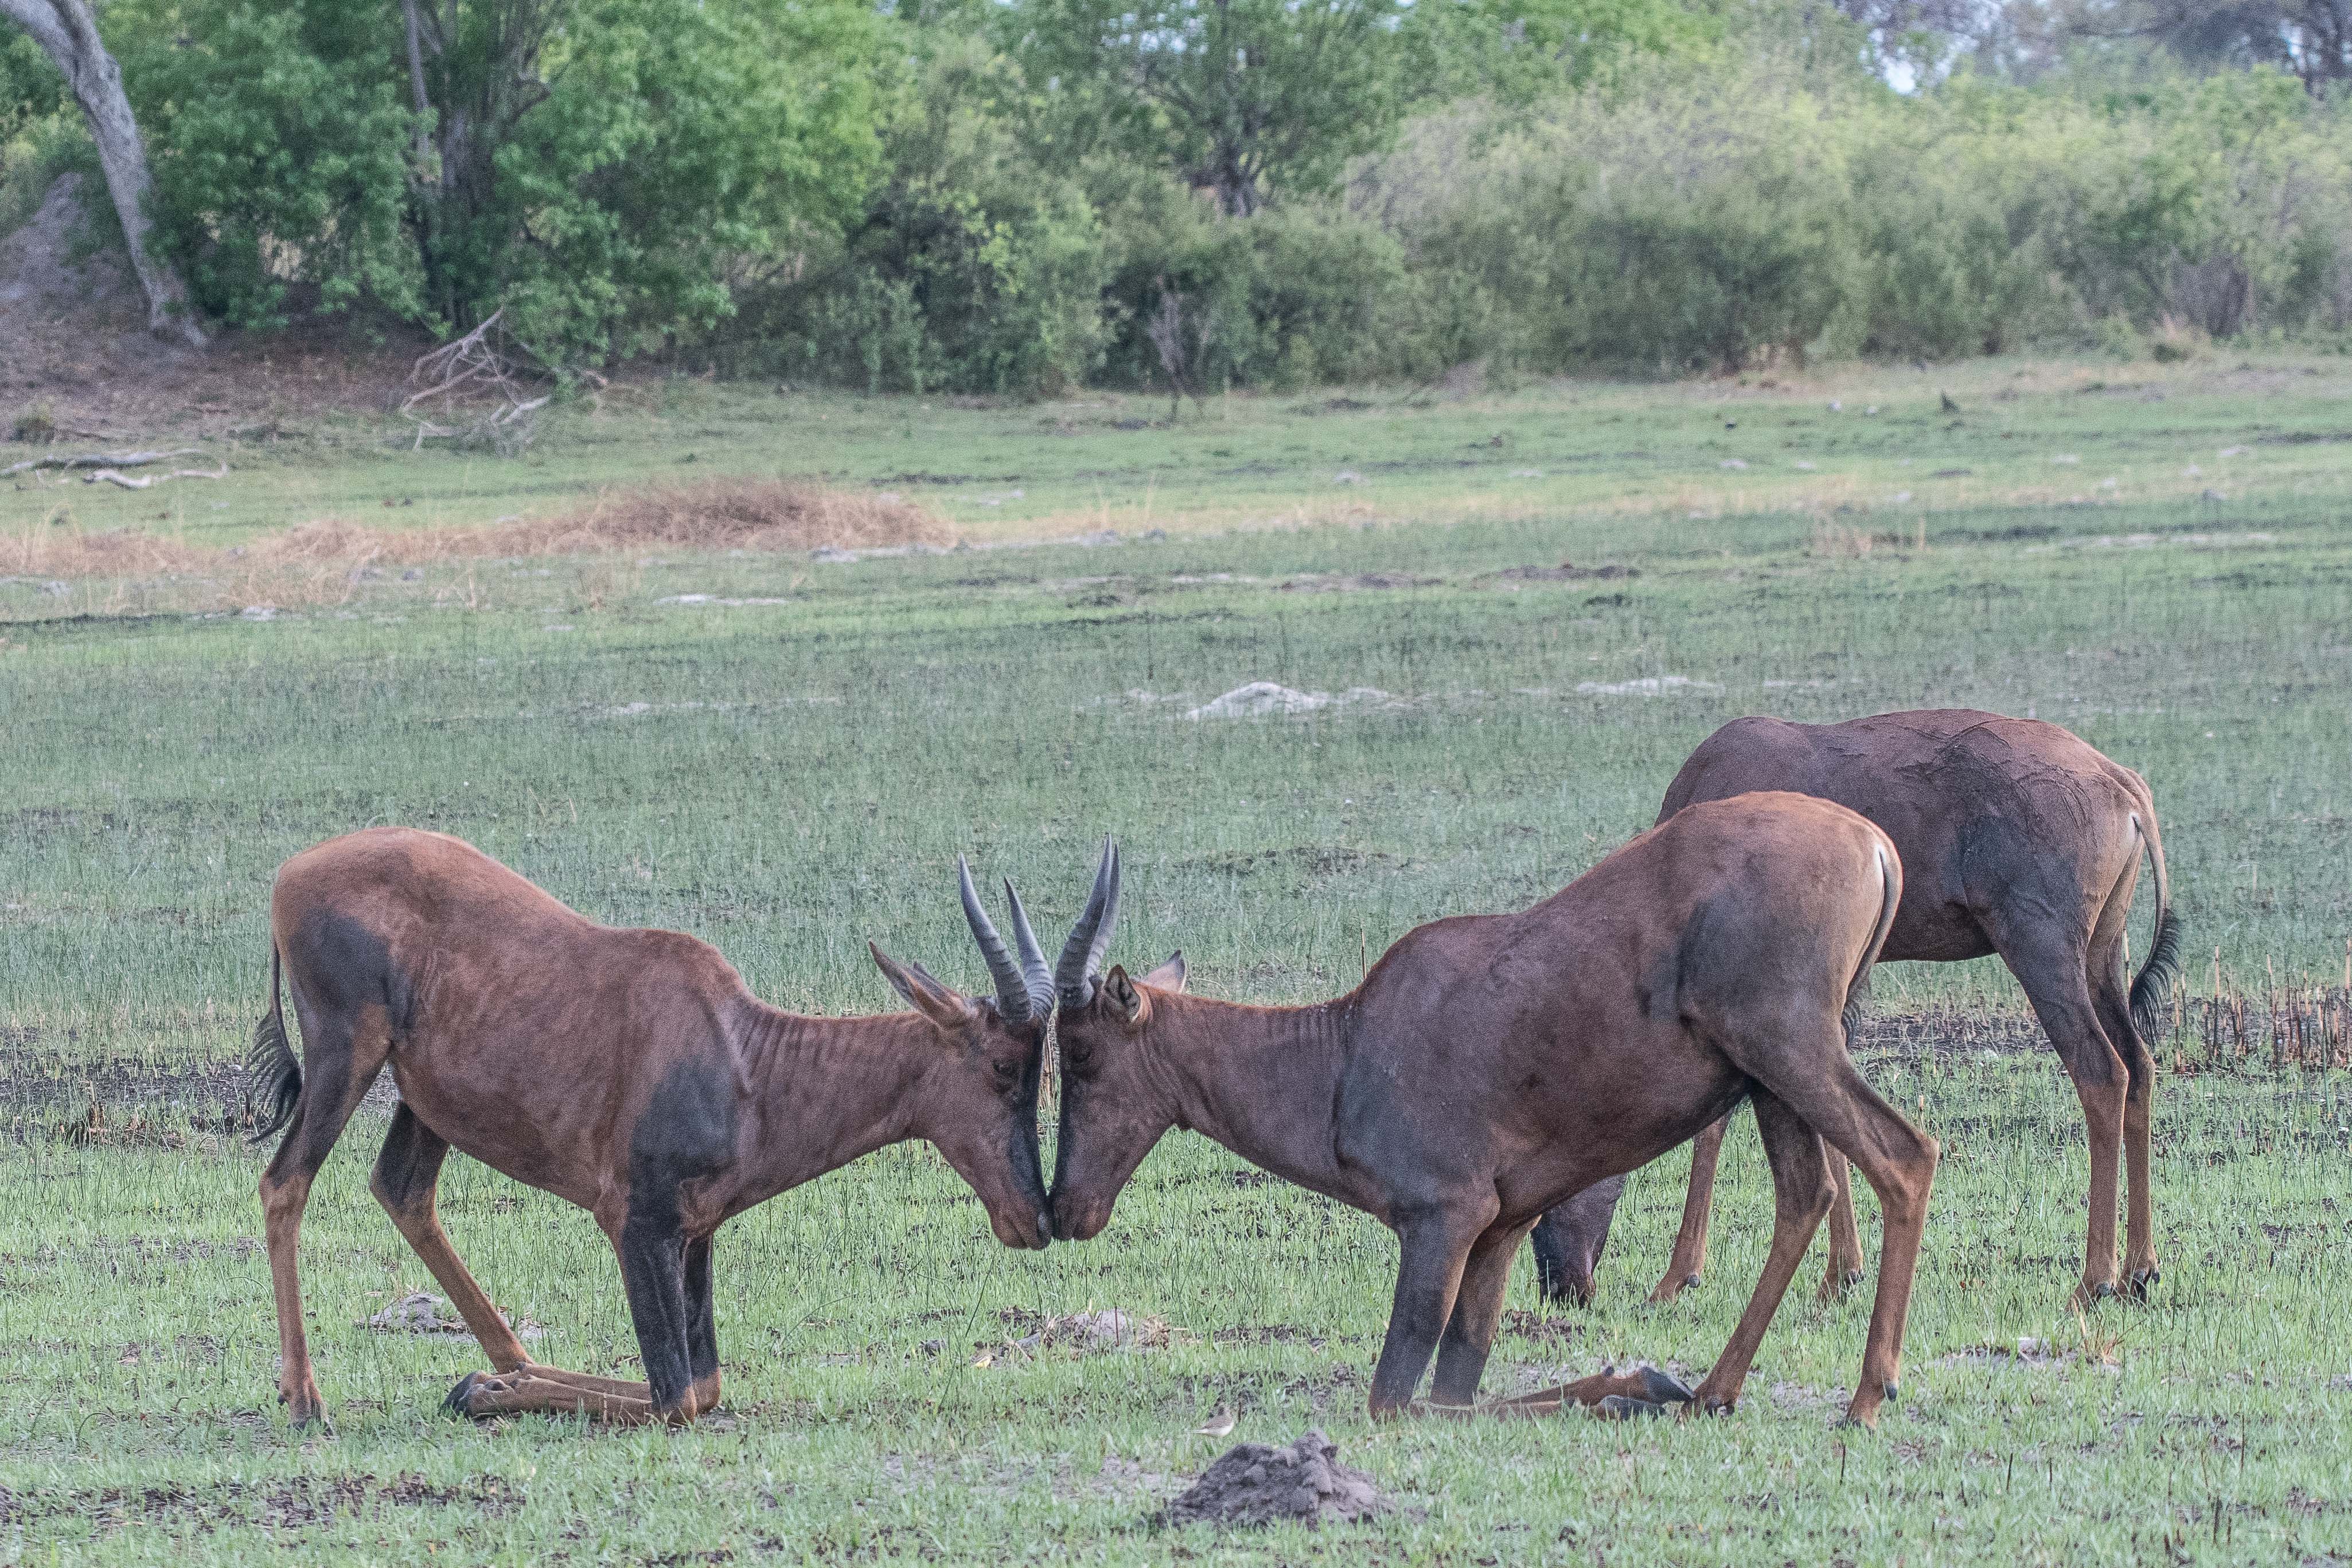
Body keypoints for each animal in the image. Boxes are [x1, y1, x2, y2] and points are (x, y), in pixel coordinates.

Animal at [248, 827, 1049, 1429]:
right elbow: (677, 1399)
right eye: (1003, 1066)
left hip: (428, 1099)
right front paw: (476, 1391)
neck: (738, 1053)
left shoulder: (694, 1235)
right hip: (345, 1054)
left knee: (403, 1190)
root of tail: (289, 873)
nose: (1036, 1219)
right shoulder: (633, 1225)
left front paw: (484, 1386)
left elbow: (705, 1387)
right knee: (285, 1182)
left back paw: (508, 1364)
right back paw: (308, 1399)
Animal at [1054, 803, 1947, 1429]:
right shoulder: (1502, 1229)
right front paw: (1643, 1383)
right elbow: (1461, 1377)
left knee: (1904, 1156)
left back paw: (1865, 1399)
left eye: (1080, 1052)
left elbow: (1401, 1397)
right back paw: (1712, 1393)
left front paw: (1634, 1387)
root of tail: (1872, 845)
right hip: (1765, 1077)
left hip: (1789, 1049)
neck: (1350, 1043)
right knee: (1805, 1193)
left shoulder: (1443, 1220)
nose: (1065, 1207)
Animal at [1533, 709, 2173, 1316]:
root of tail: (2118, 782)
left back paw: (2092, 1283)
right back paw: (2140, 1273)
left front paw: (1675, 1279)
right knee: (2140, 1065)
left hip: (2041, 951)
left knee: (2101, 1072)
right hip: (2100, 956)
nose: (1561, 1288)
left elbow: (1718, 1123)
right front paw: (1840, 1276)